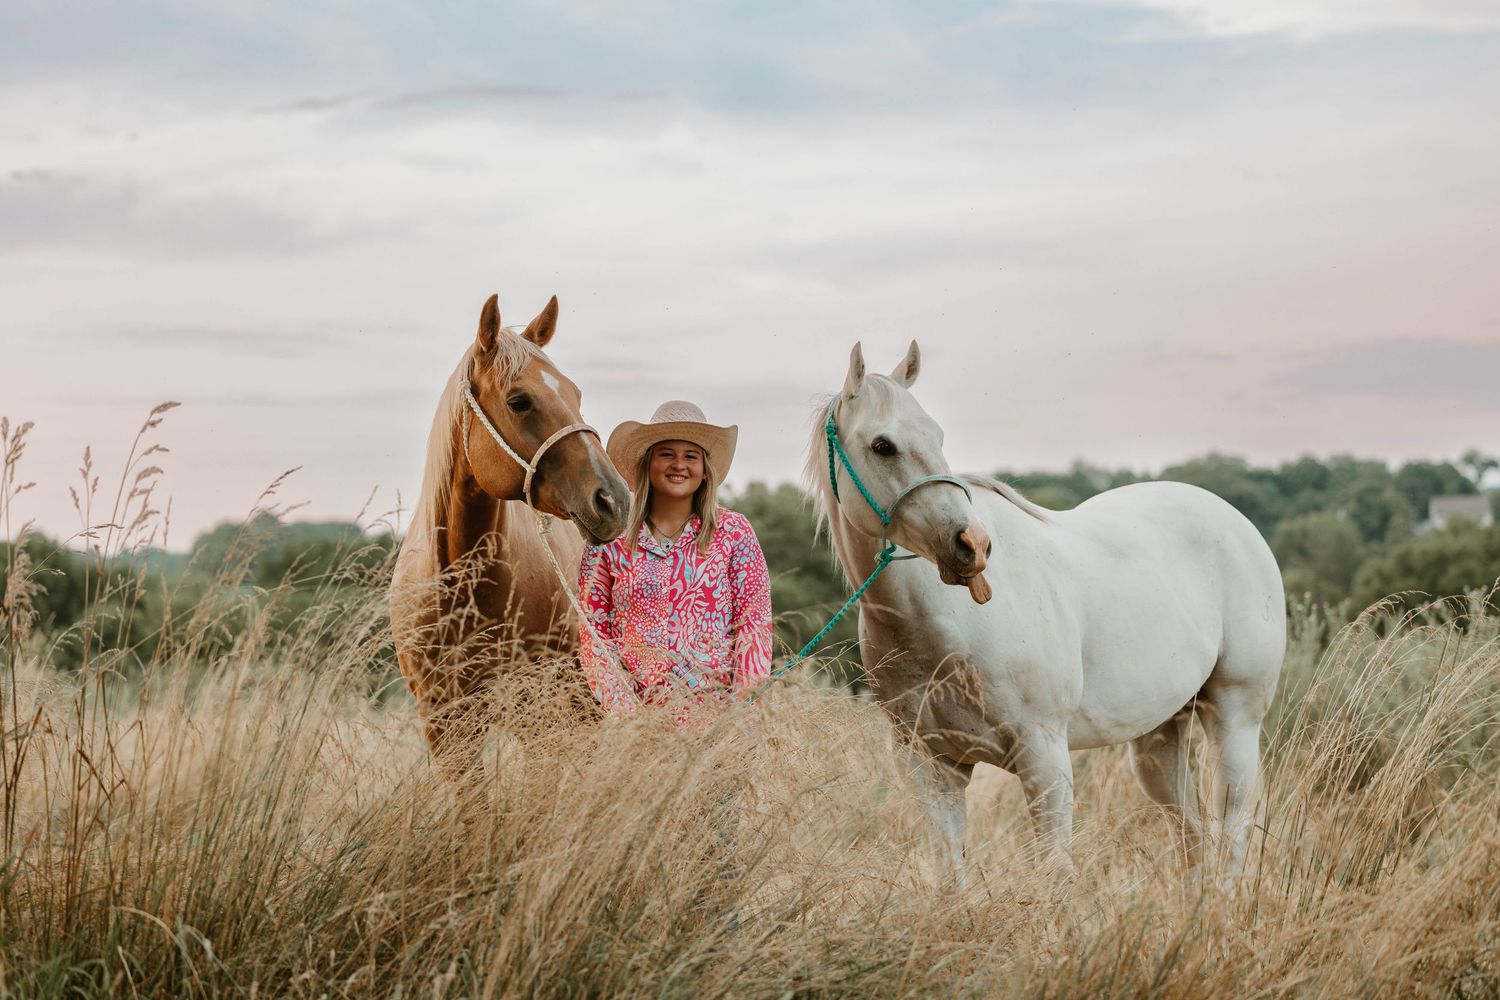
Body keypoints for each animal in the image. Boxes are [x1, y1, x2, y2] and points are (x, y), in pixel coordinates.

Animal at [807, 341, 1286, 883]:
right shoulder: (930, 766)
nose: (972, 545)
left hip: (1235, 719)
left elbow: (1055, 874)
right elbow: (950, 875)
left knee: (1231, 834)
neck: (944, 626)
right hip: (1160, 738)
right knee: (1193, 837)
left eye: (937, 435)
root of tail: (1236, 522)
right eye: (882, 445)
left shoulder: (1044, 757)